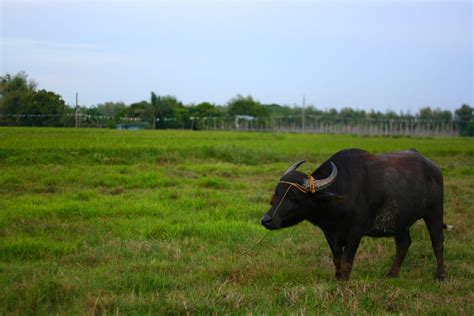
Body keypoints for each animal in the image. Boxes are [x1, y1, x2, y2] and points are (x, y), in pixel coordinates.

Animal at [262, 149, 446, 280]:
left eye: (294, 196)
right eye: (277, 193)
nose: (266, 220)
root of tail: (434, 168)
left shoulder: (355, 232)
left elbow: (346, 260)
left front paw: (344, 280)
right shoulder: (330, 233)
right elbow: (337, 258)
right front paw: (337, 278)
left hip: (434, 213)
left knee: (437, 242)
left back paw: (440, 275)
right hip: (400, 222)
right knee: (404, 244)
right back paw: (392, 274)